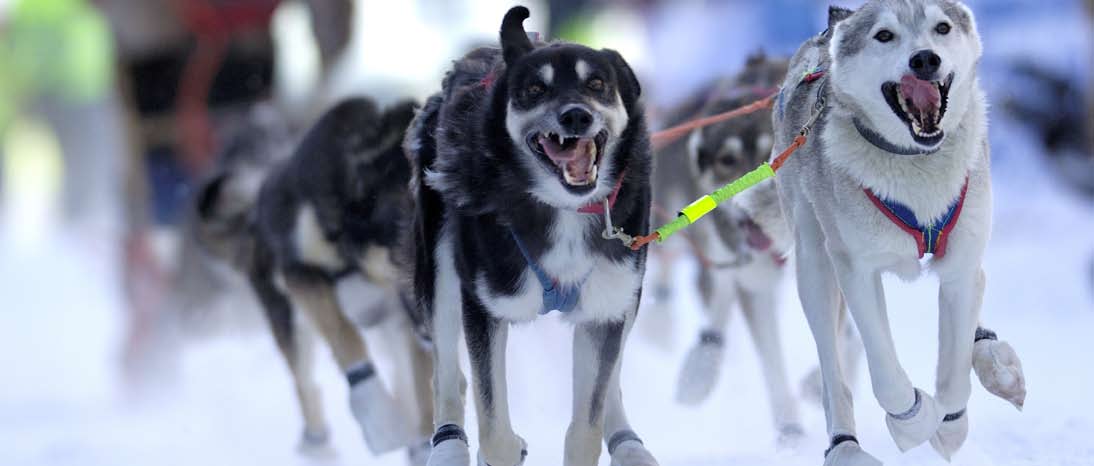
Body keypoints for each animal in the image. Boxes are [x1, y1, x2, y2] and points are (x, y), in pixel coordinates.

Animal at [190, 97, 433, 461]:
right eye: (410, 241)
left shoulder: (409, 319)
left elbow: (424, 383)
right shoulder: (300, 273)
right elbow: (344, 334)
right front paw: (379, 419)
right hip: (291, 321)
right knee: (305, 383)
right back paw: (317, 442)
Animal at [406, 6, 652, 466]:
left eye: (597, 84)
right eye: (535, 89)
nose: (576, 115)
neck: (564, 208)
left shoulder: (606, 309)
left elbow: (586, 429)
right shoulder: (483, 307)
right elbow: (494, 430)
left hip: (625, 295)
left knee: (611, 379)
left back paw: (629, 443)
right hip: (441, 268)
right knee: (447, 374)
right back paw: (448, 446)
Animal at [743, 1, 1023, 463]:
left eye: (941, 27)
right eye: (884, 35)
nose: (924, 59)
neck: (916, 162)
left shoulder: (959, 268)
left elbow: (954, 371)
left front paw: (950, 423)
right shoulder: (856, 271)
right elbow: (886, 375)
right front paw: (914, 421)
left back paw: (991, 354)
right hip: (814, 265)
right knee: (833, 370)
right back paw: (845, 445)